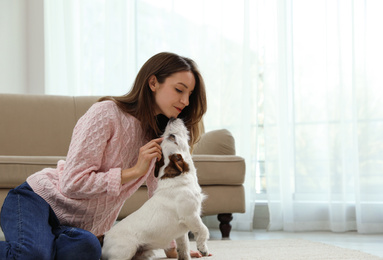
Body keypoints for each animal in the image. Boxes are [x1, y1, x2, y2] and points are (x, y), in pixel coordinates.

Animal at [102, 118, 210, 260]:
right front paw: (203, 248)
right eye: (172, 137)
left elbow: (184, 248)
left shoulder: (182, 232)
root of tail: (104, 239)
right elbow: (204, 230)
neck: (177, 178)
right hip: (125, 250)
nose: (172, 118)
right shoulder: (190, 215)